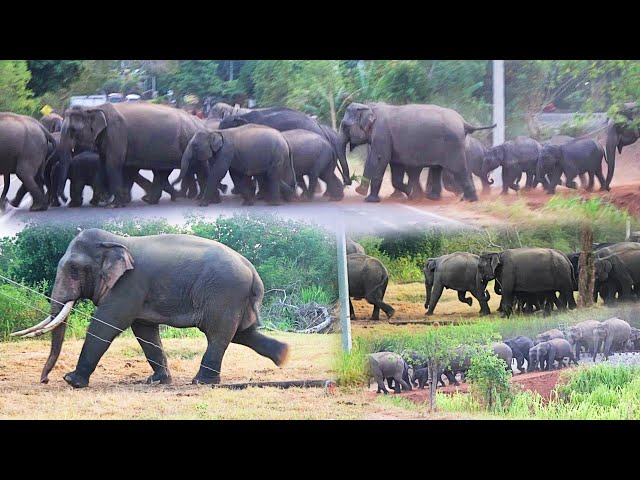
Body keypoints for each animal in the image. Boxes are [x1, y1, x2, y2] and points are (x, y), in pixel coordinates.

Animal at [11, 227, 288, 388]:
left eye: (74, 269)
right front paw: (157, 381)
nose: (44, 380)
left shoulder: (129, 284)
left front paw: (72, 380)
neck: (117, 241)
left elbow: (106, 324)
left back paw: (201, 382)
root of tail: (254, 273)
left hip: (224, 294)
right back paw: (283, 356)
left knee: (218, 335)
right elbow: (144, 330)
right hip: (234, 299)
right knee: (242, 333)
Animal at [58, 101, 208, 206]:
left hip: (187, 143)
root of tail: (198, 123)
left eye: (73, 130)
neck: (94, 107)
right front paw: (99, 201)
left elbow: (113, 164)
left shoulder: (117, 133)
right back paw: (154, 200)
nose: (64, 200)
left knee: (195, 169)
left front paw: (114, 205)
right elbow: (103, 164)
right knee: (162, 172)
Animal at [340, 102, 496, 202]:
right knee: (438, 169)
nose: (348, 182)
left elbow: (379, 159)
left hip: (453, 145)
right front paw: (413, 195)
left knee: (458, 170)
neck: (370, 107)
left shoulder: (382, 135)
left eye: (344, 126)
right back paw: (433, 197)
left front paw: (370, 200)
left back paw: (470, 200)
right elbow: (395, 166)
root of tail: (464, 123)